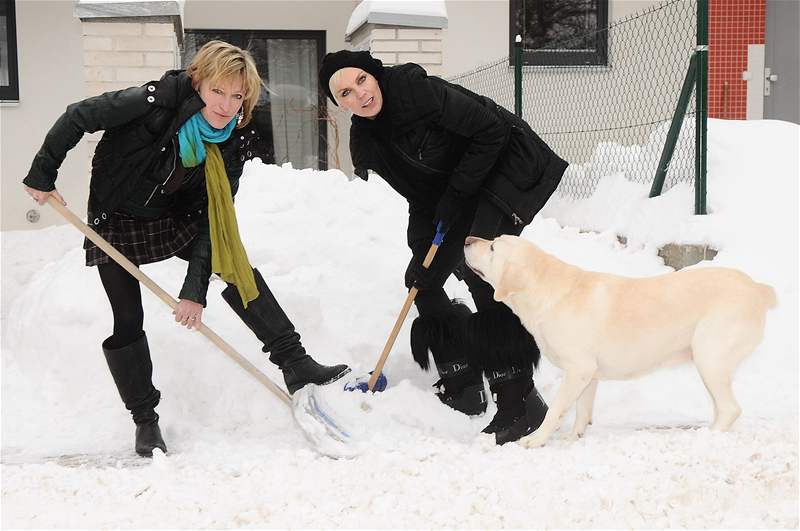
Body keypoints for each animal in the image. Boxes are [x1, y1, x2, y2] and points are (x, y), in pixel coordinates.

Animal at [462, 235, 776, 446]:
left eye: (493, 247)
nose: (467, 238)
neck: (547, 293)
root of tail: (758, 289)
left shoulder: (577, 370)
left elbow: (555, 411)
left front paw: (535, 440)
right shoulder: (588, 374)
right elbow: (582, 412)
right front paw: (574, 439)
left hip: (709, 358)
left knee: (731, 409)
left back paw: (707, 436)